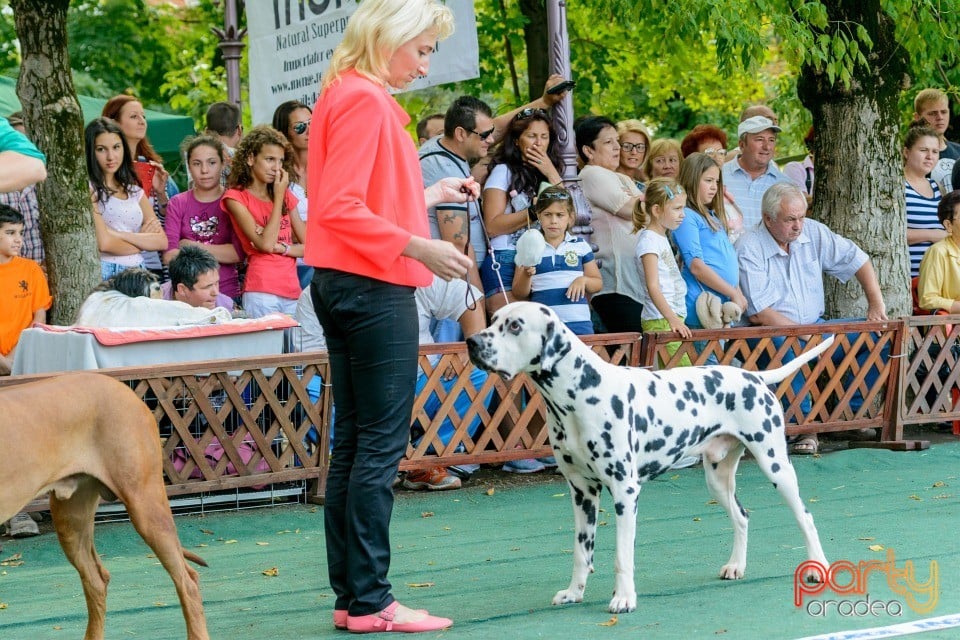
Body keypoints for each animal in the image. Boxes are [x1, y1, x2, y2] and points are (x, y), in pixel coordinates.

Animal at [468, 304, 828, 616]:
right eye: (493, 320)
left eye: (515, 326)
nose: (472, 342)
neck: (580, 392)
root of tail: (754, 377)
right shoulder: (582, 492)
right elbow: (581, 552)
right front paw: (574, 593)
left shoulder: (625, 492)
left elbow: (622, 556)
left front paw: (624, 598)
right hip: (717, 480)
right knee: (742, 516)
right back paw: (736, 566)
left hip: (777, 468)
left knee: (807, 517)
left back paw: (818, 568)